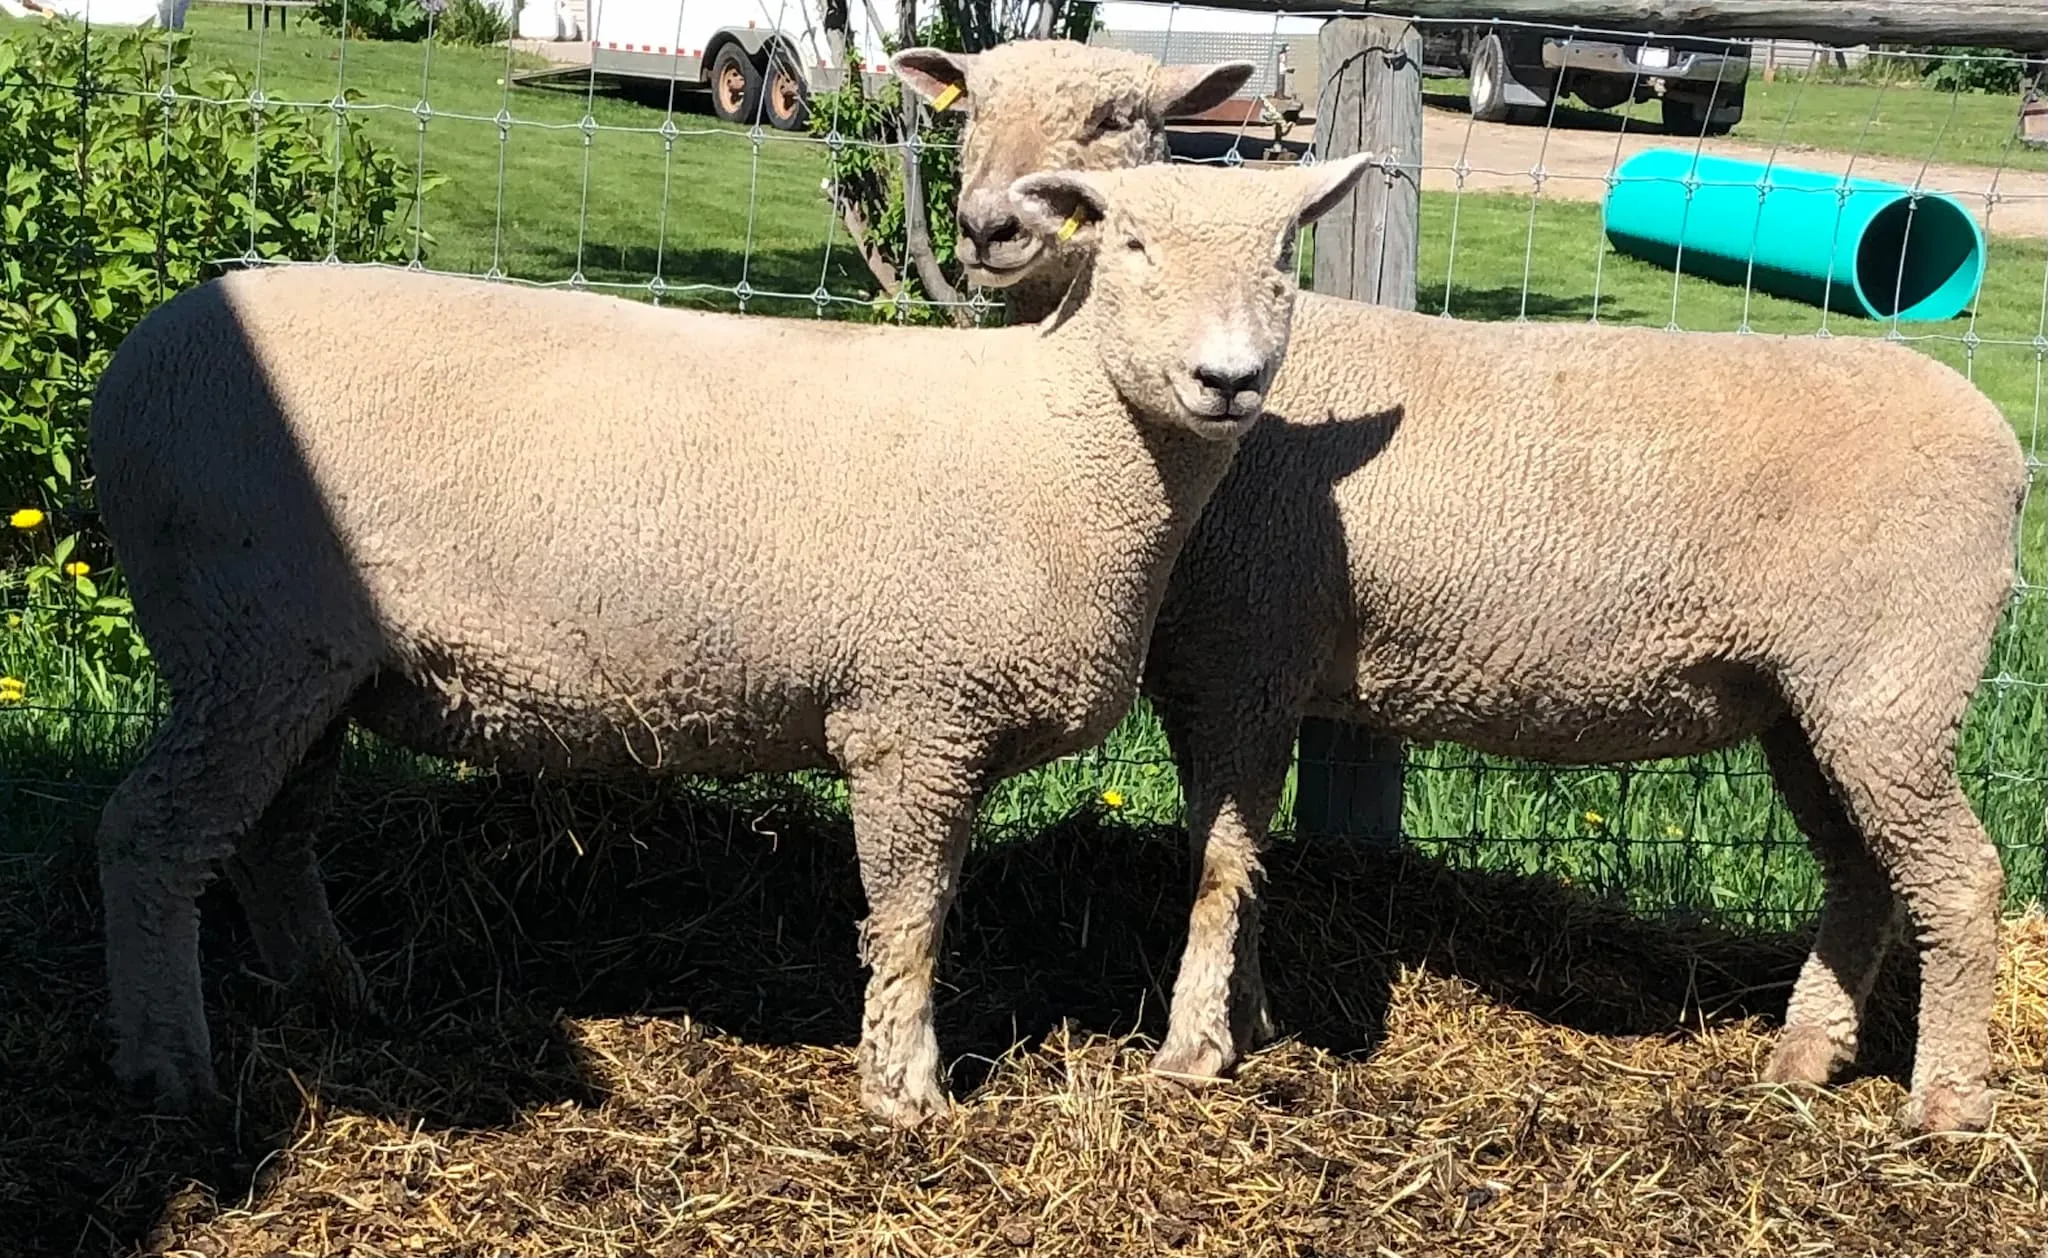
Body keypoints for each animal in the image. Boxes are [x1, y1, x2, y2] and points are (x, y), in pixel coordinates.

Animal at [92, 152, 1376, 1130]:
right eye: (1131, 248)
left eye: (1282, 264)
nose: (1227, 379)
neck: (1062, 442)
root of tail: (135, 359)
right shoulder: (916, 714)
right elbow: (911, 917)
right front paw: (907, 1095)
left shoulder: (936, 712)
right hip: (246, 634)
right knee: (151, 837)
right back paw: (169, 1068)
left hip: (298, 659)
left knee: (267, 838)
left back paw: (330, 991)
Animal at [905, 44, 2039, 1139]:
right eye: (969, 112)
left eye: (1113, 119)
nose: (990, 225)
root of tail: (1999, 441)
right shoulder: (1212, 664)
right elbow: (1236, 856)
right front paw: (1254, 1017)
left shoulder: (1250, 651)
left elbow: (1220, 859)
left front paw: (1194, 1049)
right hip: (1810, 701)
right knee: (1861, 871)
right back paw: (1804, 1058)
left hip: (1896, 681)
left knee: (1959, 877)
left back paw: (1945, 1103)